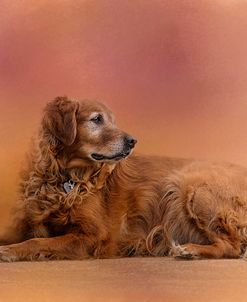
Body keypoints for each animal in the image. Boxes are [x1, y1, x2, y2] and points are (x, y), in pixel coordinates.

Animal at [0, 96, 247, 262]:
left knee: (233, 246)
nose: (132, 141)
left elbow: (38, 241)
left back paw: (190, 250)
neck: (65, 177)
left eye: (112, 121)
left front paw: (11, 251)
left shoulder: (91, 236)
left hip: (190, 186)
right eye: (96, 119)